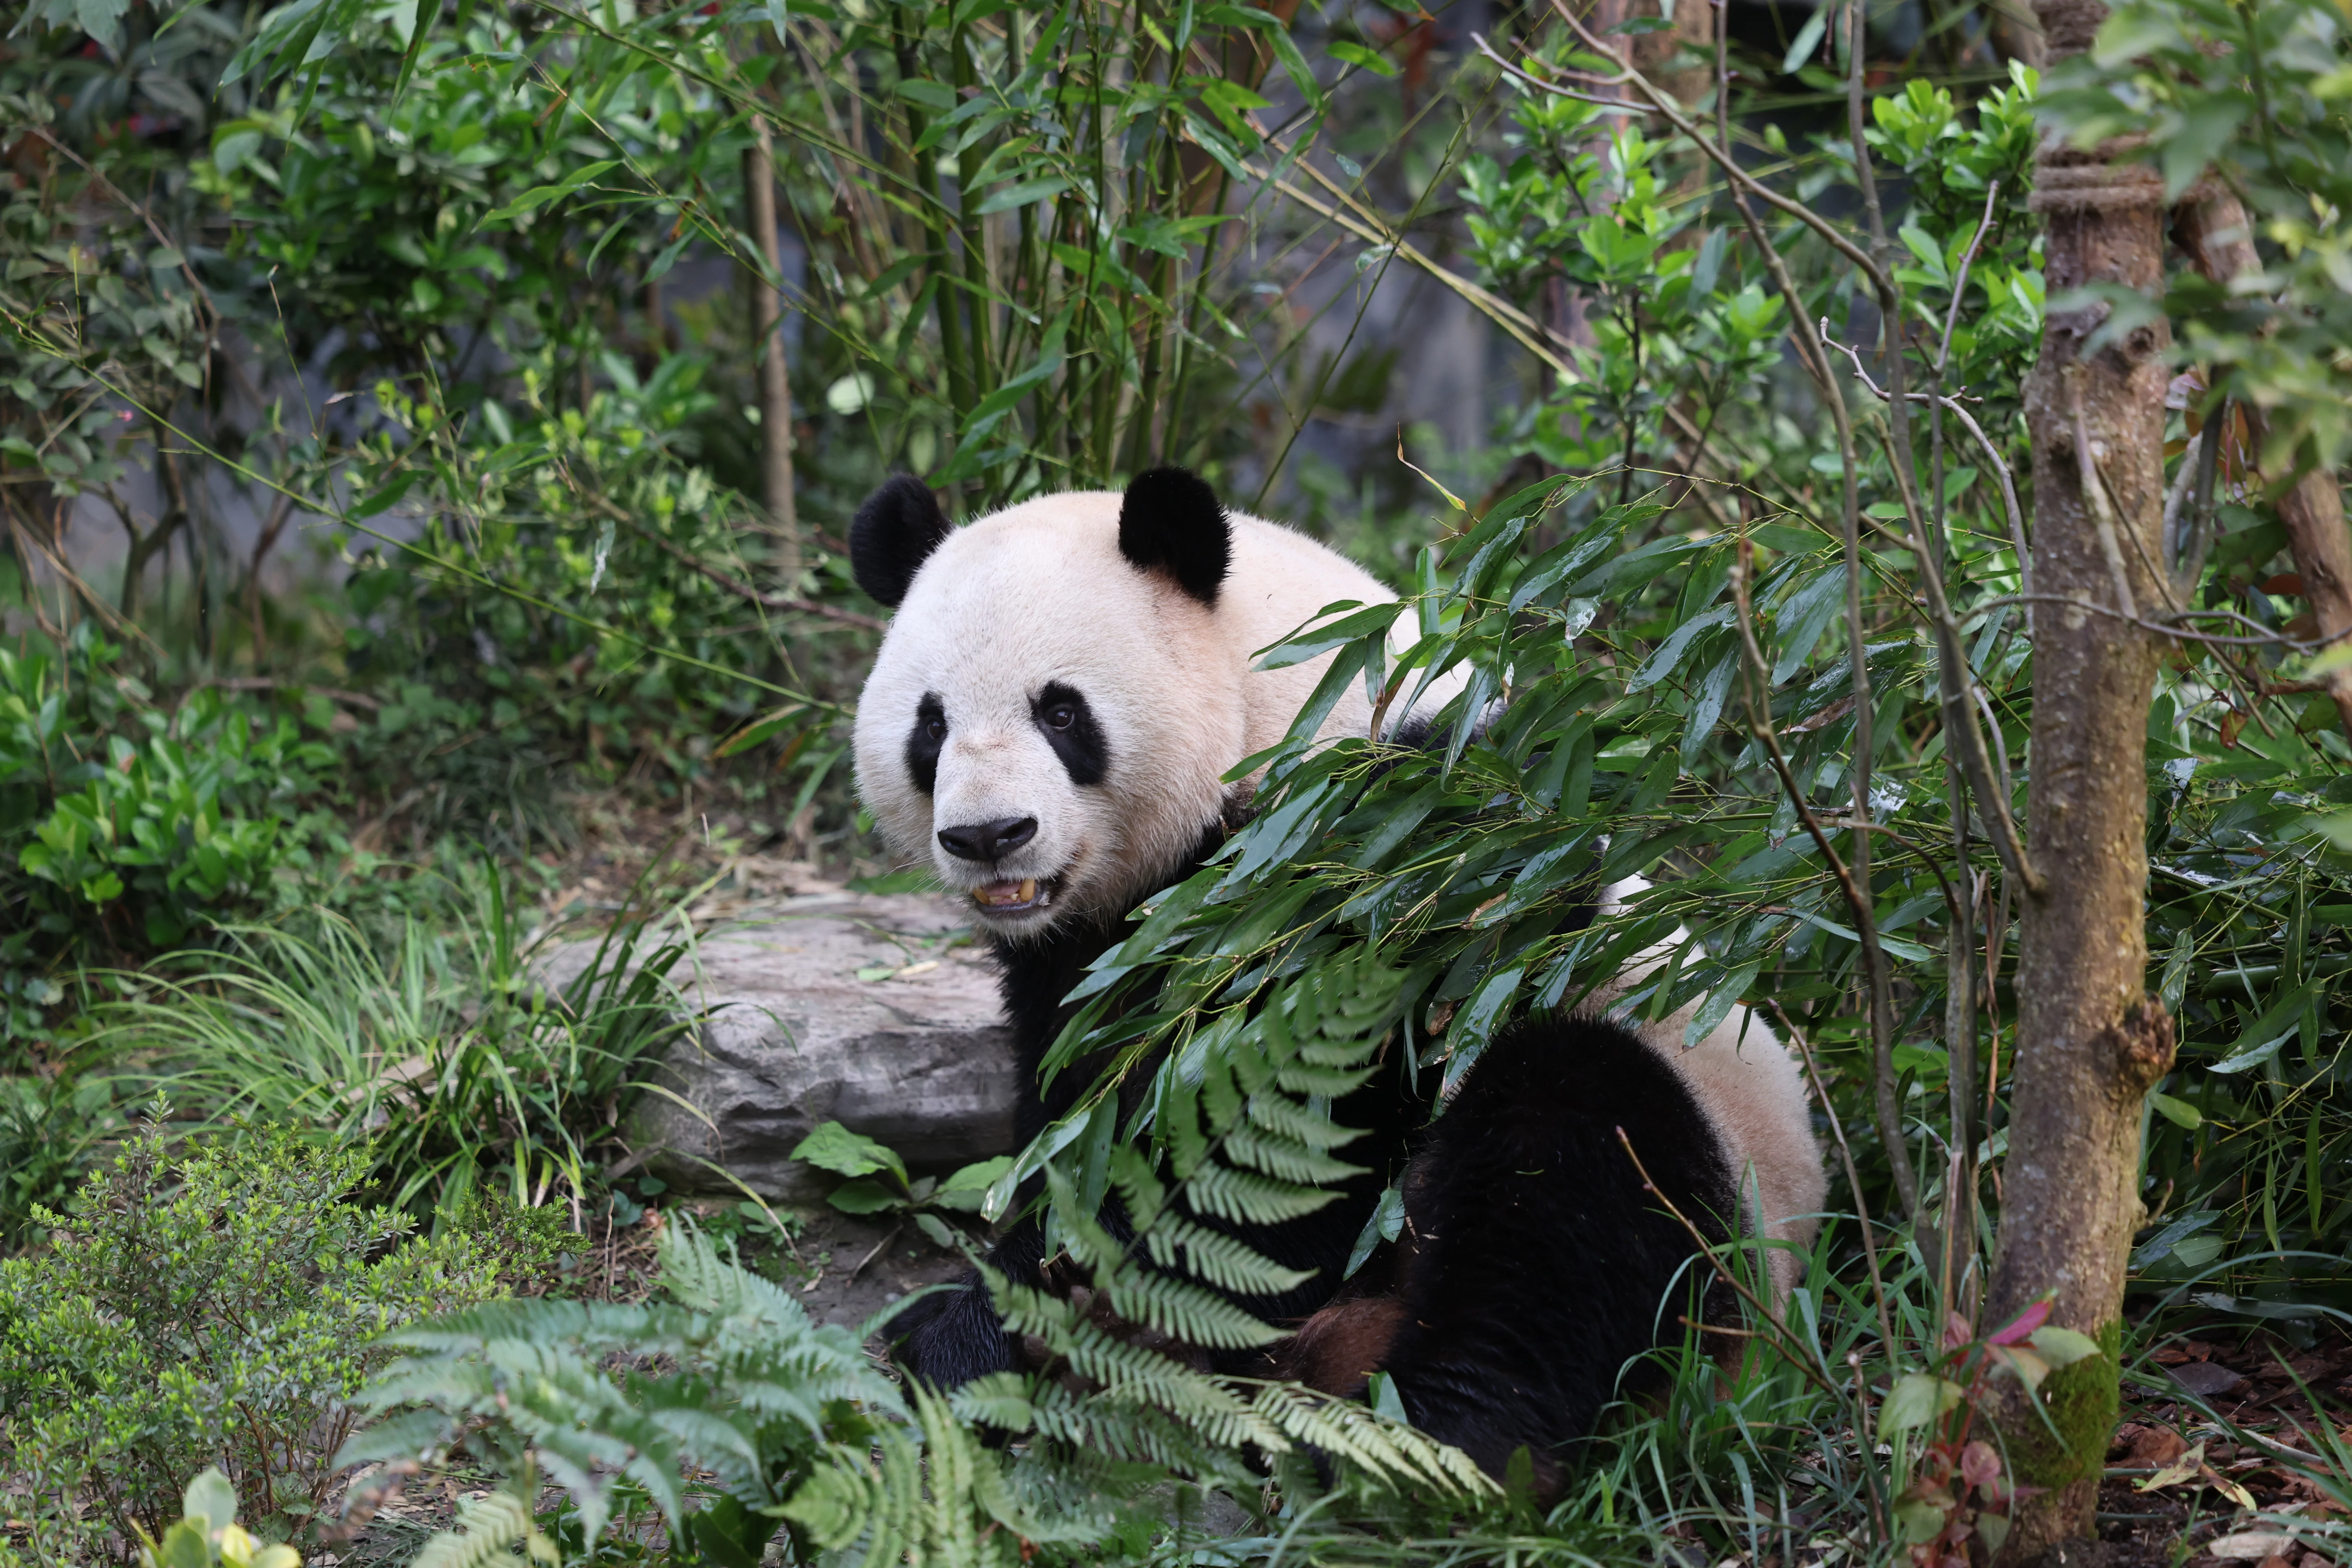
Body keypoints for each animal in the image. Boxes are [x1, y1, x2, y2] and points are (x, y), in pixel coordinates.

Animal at [846, 465, 1825, 1484]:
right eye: (930, 724)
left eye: (1062, 711)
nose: (990, 837)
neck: (1289, 702)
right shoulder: (1083, 961)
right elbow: (1088, 1104)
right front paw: (968, 1312)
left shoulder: (1402, 862)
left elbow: (1283, 1144)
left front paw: (979, 1333)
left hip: (1709, 1172)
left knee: (1571, 1173)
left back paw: (1425, 1439)